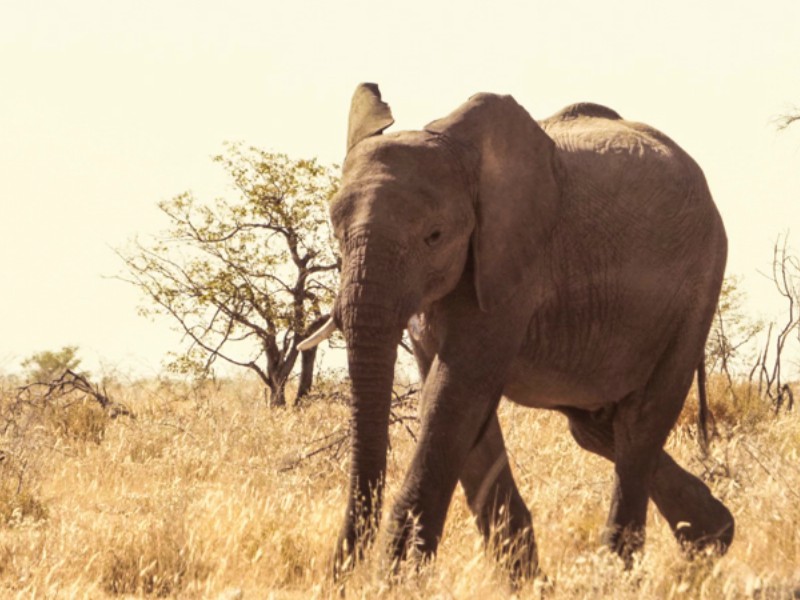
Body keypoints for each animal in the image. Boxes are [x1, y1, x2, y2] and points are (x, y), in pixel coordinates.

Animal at [299, 83, 734, 579]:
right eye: (336, 231)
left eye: (434, 236)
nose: (340, 574)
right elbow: (453, 405)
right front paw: (522, 577)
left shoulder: (511, 265)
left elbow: (453, 394)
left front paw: (398, 577)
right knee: (600, 428)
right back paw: (710, 539)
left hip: (699, 283)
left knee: (641, 422)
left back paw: (619, 571)